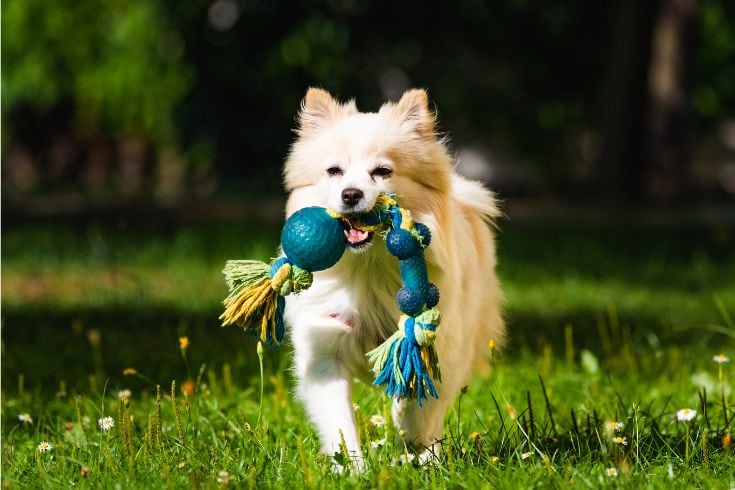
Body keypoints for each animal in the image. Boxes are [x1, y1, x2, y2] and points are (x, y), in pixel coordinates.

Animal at [282, 87, 506, 468]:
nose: (351, 194)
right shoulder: (324, 352)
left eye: (382, 171)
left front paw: (413, 450)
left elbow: (417, 406)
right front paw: (353, 469)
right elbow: (340, 422)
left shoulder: (434, 347)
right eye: (334, 171)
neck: (368, 267)